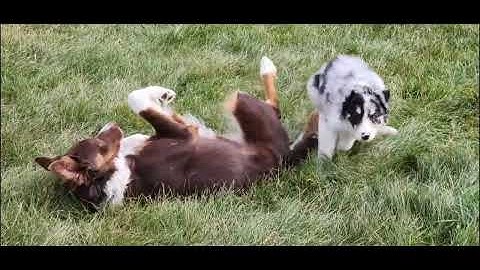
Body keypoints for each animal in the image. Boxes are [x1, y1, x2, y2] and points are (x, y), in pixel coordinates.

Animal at [34, 56, 318, 210]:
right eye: (98, 143)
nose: (111, 125)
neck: (117, 176)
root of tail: (285, 161)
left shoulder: (181, 129)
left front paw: (162, 97)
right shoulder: (185, 134)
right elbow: (136, 98)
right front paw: (162, 93)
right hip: (246, 105)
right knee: (273, 105)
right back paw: (269, 67)